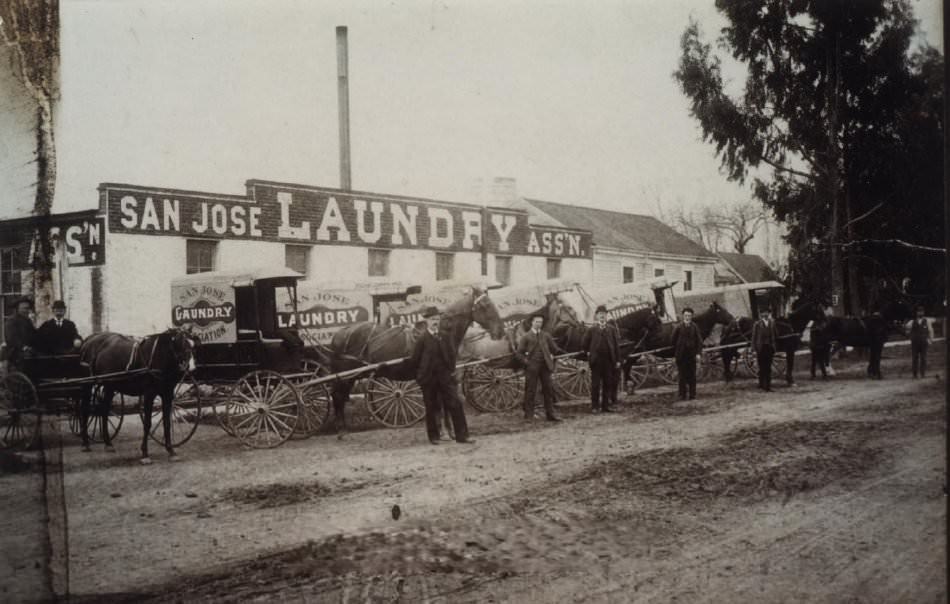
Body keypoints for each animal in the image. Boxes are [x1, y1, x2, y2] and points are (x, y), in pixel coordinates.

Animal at [81, 330, 199, 462]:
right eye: (182, 344)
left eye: (194, 346)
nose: (192, 367)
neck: (158, 355)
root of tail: (90, 339)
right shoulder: (149, 395)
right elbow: (147, 423)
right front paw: (145, 454)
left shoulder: (167, 395)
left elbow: (167, 423)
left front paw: (171, 451)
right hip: (88, 384)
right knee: (85, 409)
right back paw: (85, 443)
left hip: (109, 387)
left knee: (104, 410)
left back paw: (108, 443)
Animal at [326, 288, 506, 434]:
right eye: (485, 305)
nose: (500, 331)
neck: (440, 336)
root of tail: (340, 333)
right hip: (346, 375)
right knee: (337, 395)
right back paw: (340, 428)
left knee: (339, 396)